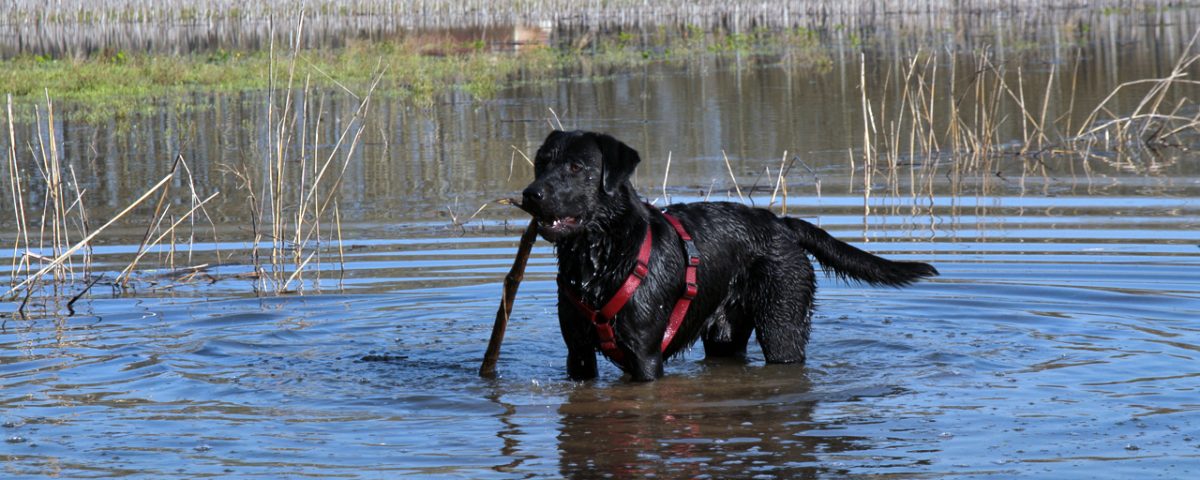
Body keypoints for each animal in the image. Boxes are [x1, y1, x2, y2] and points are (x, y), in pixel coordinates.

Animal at [518, 129, 936, 381]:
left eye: (576, 167)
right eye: (541, 163)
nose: (530, 194)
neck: (599, 256)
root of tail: (781, 224)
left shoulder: (645, 354)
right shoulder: (578, 352)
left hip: (782, 323)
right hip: (725, 334)